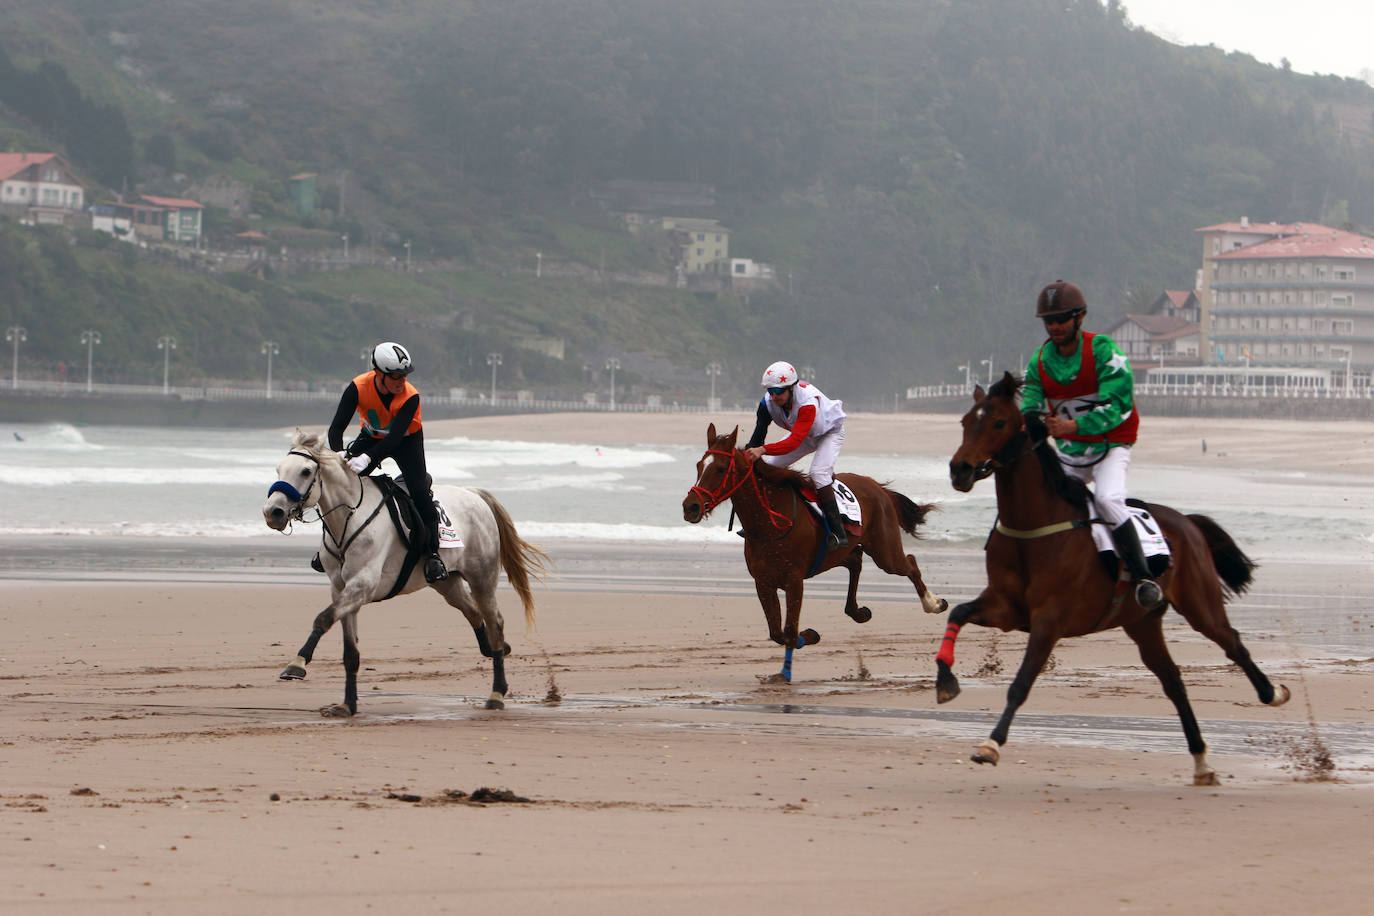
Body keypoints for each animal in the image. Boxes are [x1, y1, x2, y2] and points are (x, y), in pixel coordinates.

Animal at [262, 431, 546, 714]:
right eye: (279, 469)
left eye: (306, 471)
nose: (272, 512)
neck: (350, 517)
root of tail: (473, 494)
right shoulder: (342, 589)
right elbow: (350, 652)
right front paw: (348, 705)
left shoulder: (362, 585)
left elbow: (322, 619)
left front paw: (296, 665)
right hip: (447, 584)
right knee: (474, 613)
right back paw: (495, 650)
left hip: (481, 578)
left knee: (494, 621)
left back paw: (497, 692)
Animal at [678, 422, 945, 681]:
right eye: (699, 465)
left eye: (721, 468)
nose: (691, 507)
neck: (771, 521)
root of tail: (876, 485)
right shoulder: (763, 582)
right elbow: (777, 632)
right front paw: (804, 642)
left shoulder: (794, 581)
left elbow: (789, 630)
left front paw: (788, 667)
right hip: (837, 552)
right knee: (855, 561)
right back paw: (858, 611)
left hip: (885, 553)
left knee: (909, 563)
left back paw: (933, 603)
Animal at [945, 376, 1286, 785]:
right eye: (966, 421)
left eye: (998, 422)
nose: (960, 470)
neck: (1034, 529)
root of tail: (1186, 521)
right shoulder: (1006, 609)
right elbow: (957, 613)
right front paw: (945, 683)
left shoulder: (1049, 621)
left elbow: (1021, 683)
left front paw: (990, 745)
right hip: (1142, 623)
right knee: (1173, 682)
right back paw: (1201, 761)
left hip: (1199, 604)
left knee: (1232, 642)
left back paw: (1272, 692)